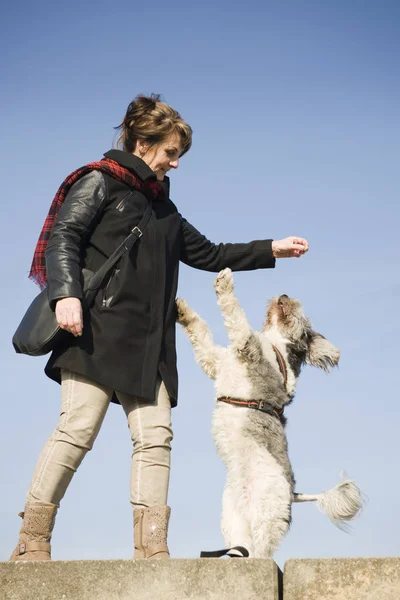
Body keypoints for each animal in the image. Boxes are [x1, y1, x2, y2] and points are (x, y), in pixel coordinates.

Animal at [175, 268, 362, 556]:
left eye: (301, 313)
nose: (283, 294)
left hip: (266, 516)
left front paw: (224, 285)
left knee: (262, 552)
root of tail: (293, 494)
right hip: (234, 523)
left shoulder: (247, 346)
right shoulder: (215, 360)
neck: (275, 344)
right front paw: (182, 310)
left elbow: (236, 315)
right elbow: (201, 332)